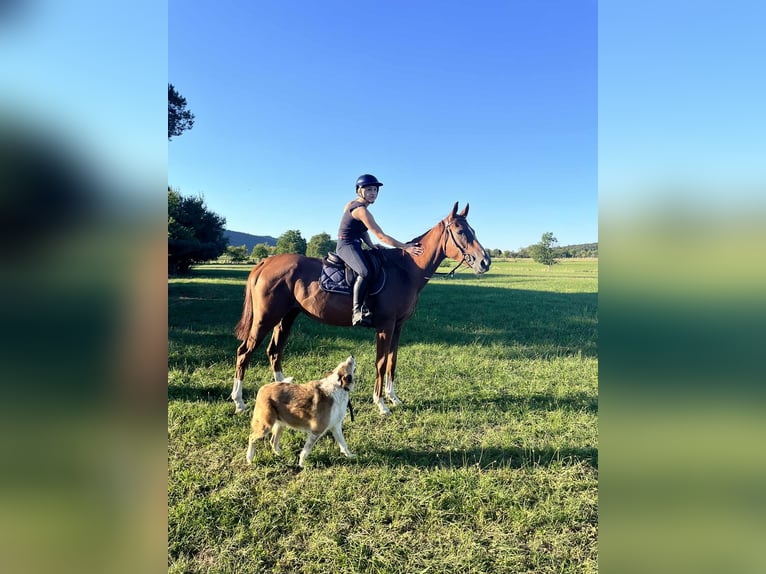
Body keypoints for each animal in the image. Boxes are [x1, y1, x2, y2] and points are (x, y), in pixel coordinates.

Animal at [230, 202, 491, 416]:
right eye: (460, 231)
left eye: (473, 231)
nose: (485, 261)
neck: (406, 270)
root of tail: (266, 262)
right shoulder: (385, 326)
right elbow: (381, 362)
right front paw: (381, 403)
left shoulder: (398, 327)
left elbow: (392, 361)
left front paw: (393, 398)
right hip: (265, 319)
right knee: (245, 352)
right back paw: (239, 402)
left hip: (286, 317)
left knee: (274, 351)